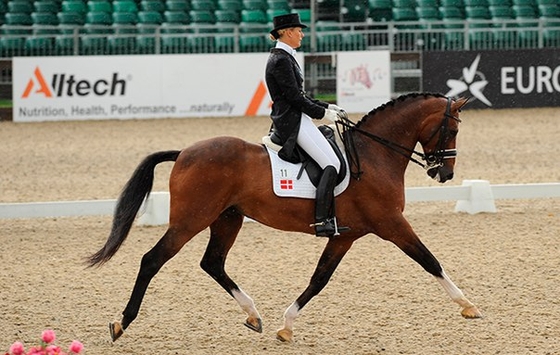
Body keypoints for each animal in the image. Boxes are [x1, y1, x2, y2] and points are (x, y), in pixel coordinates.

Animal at [86, 93, 482, 344]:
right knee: (152, 260)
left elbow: (319, 279)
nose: (444, 174)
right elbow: (430, 260)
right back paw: (121, 323)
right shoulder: (391, 224)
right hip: (190, 221)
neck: (374, 155)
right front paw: (469, 306)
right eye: (452, 130)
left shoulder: (344, 235)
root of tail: (184, 152)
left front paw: (286, 326)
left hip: (227, 219)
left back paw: (253, 315)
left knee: (212, 262)